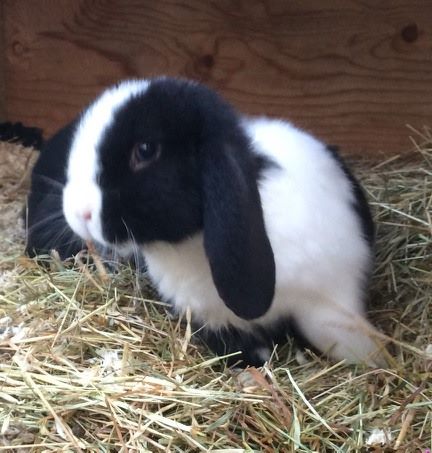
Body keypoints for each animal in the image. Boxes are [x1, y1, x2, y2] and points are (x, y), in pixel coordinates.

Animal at [26, 77, 384, 368]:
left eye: (145, 150)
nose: (78, 212)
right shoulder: (213, 319)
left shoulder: (334, 293)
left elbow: (340, 335)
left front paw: (376, 358)